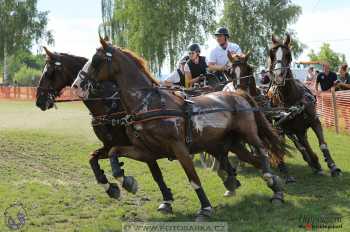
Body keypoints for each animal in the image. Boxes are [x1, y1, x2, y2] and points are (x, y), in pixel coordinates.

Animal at [72, 38, 288, 221]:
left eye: (96, 60)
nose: (76, 85)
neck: (147, 104)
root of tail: (238, 93)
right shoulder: (146, 151)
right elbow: (113, 153)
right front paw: (124, 182)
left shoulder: (180, 149)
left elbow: (193, 179)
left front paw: (205, 208)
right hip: (233, 144)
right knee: (254, 160)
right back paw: (274, 185)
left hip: (248, 134)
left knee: (262, 153)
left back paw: (274, 184)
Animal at [268, 33, 342, 177]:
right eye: (272, 54)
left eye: (288, 55)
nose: (278, 75)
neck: (291, 99)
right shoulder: (285, 129)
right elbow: (302, 146)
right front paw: (314, 161)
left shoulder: (314, 121)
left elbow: (322, 144)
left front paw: (332, 166)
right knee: (301, 145)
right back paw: (311, 161)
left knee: (304, 142)